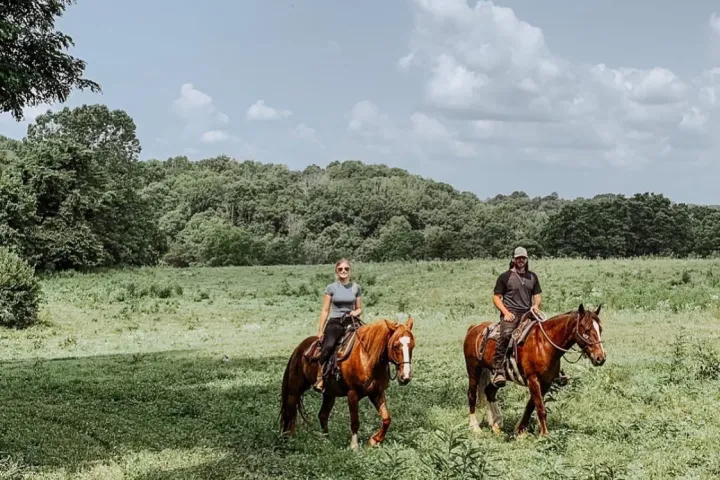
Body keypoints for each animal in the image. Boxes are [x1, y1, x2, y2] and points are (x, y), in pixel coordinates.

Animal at [282, 318, 416, 450]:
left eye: (412, 346)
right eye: (395, 345)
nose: (405, 377)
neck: (366, 359)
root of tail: (299, 348)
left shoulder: (376, 393)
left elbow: (387, 418)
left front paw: (374, 440)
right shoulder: (352, 393)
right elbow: (355, 421)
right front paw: (354, 446)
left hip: (329, 394)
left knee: (322, 415)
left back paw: (326, 441)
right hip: (294, 390)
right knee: (289, 413)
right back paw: (286, 441)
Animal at [462, 306, 608, 436]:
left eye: (600, 329)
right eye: (586, 330)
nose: (600, 358)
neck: (544, 344)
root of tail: (473, 328)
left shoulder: (546, 382)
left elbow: (531, 406)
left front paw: (520, 431)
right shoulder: (533, 379)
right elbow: (540, 408)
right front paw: (544, 435)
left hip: (497, 377)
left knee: (489, 391)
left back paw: (496, 424)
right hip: (473, 370)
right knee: (472, 395)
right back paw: (475, 427)